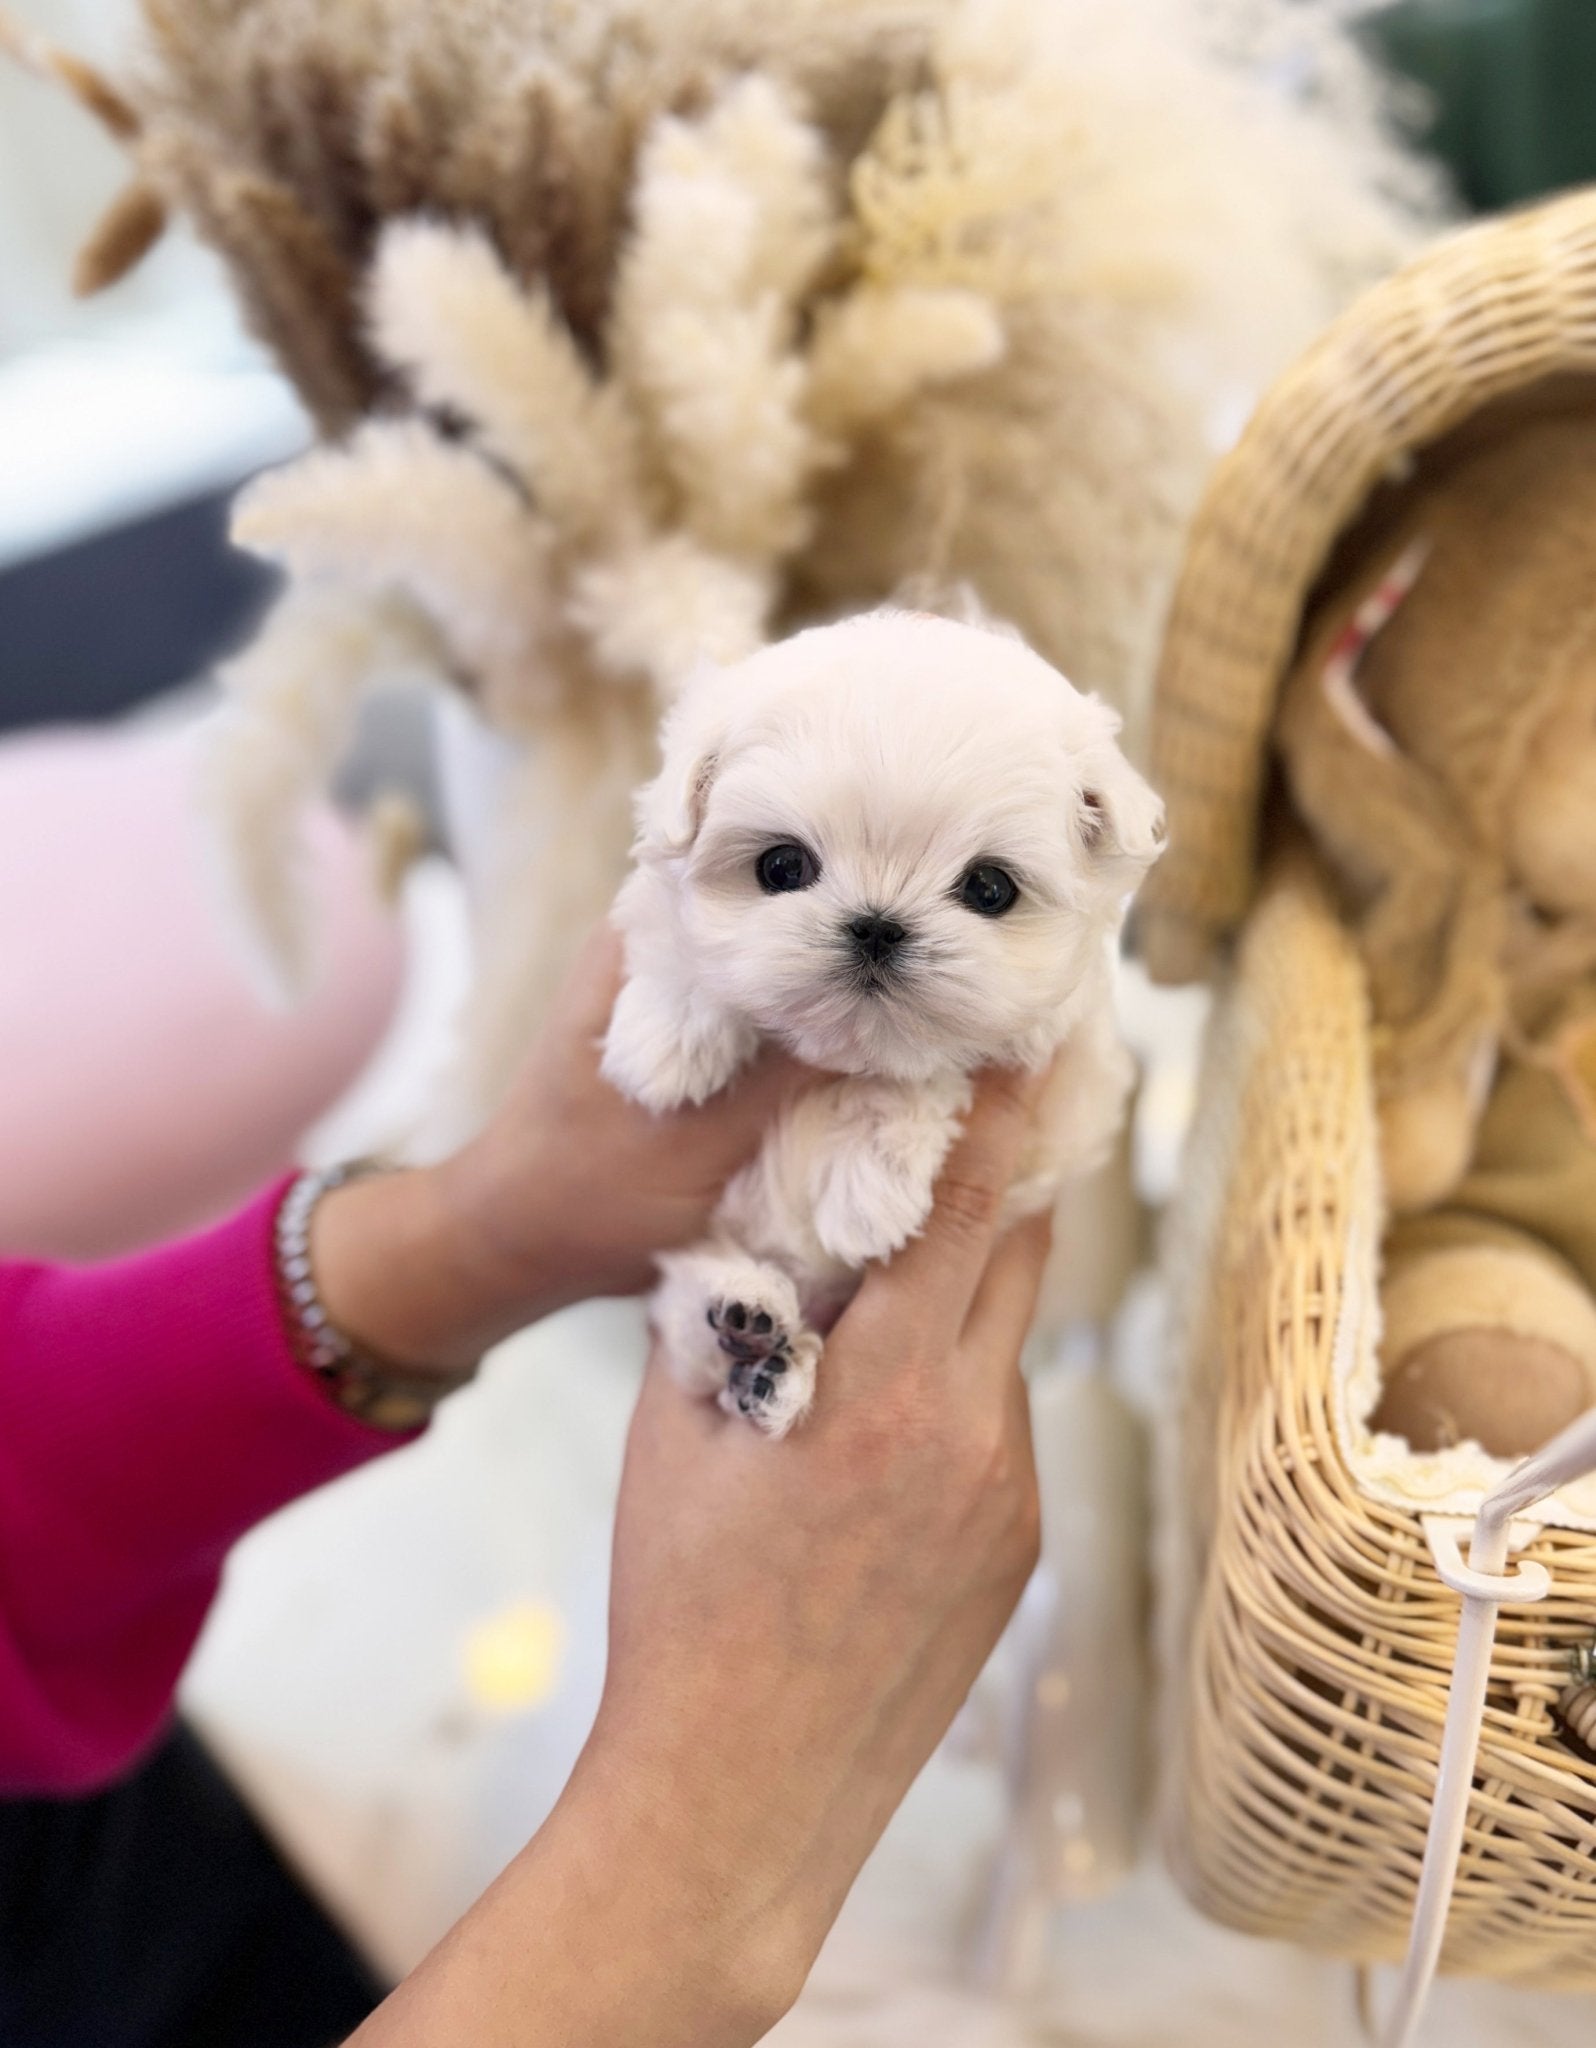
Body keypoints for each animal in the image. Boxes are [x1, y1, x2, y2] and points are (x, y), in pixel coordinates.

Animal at [598, 610, 1163, 1425]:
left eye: (989, 888)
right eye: (781, 867)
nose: (875, 926)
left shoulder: (1057, 1065)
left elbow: (929, 1071)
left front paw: (870, 1187)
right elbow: (676, 941)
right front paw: (666, 1042)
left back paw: (767, 1363)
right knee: (685, 1324)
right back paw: (744, 1321)